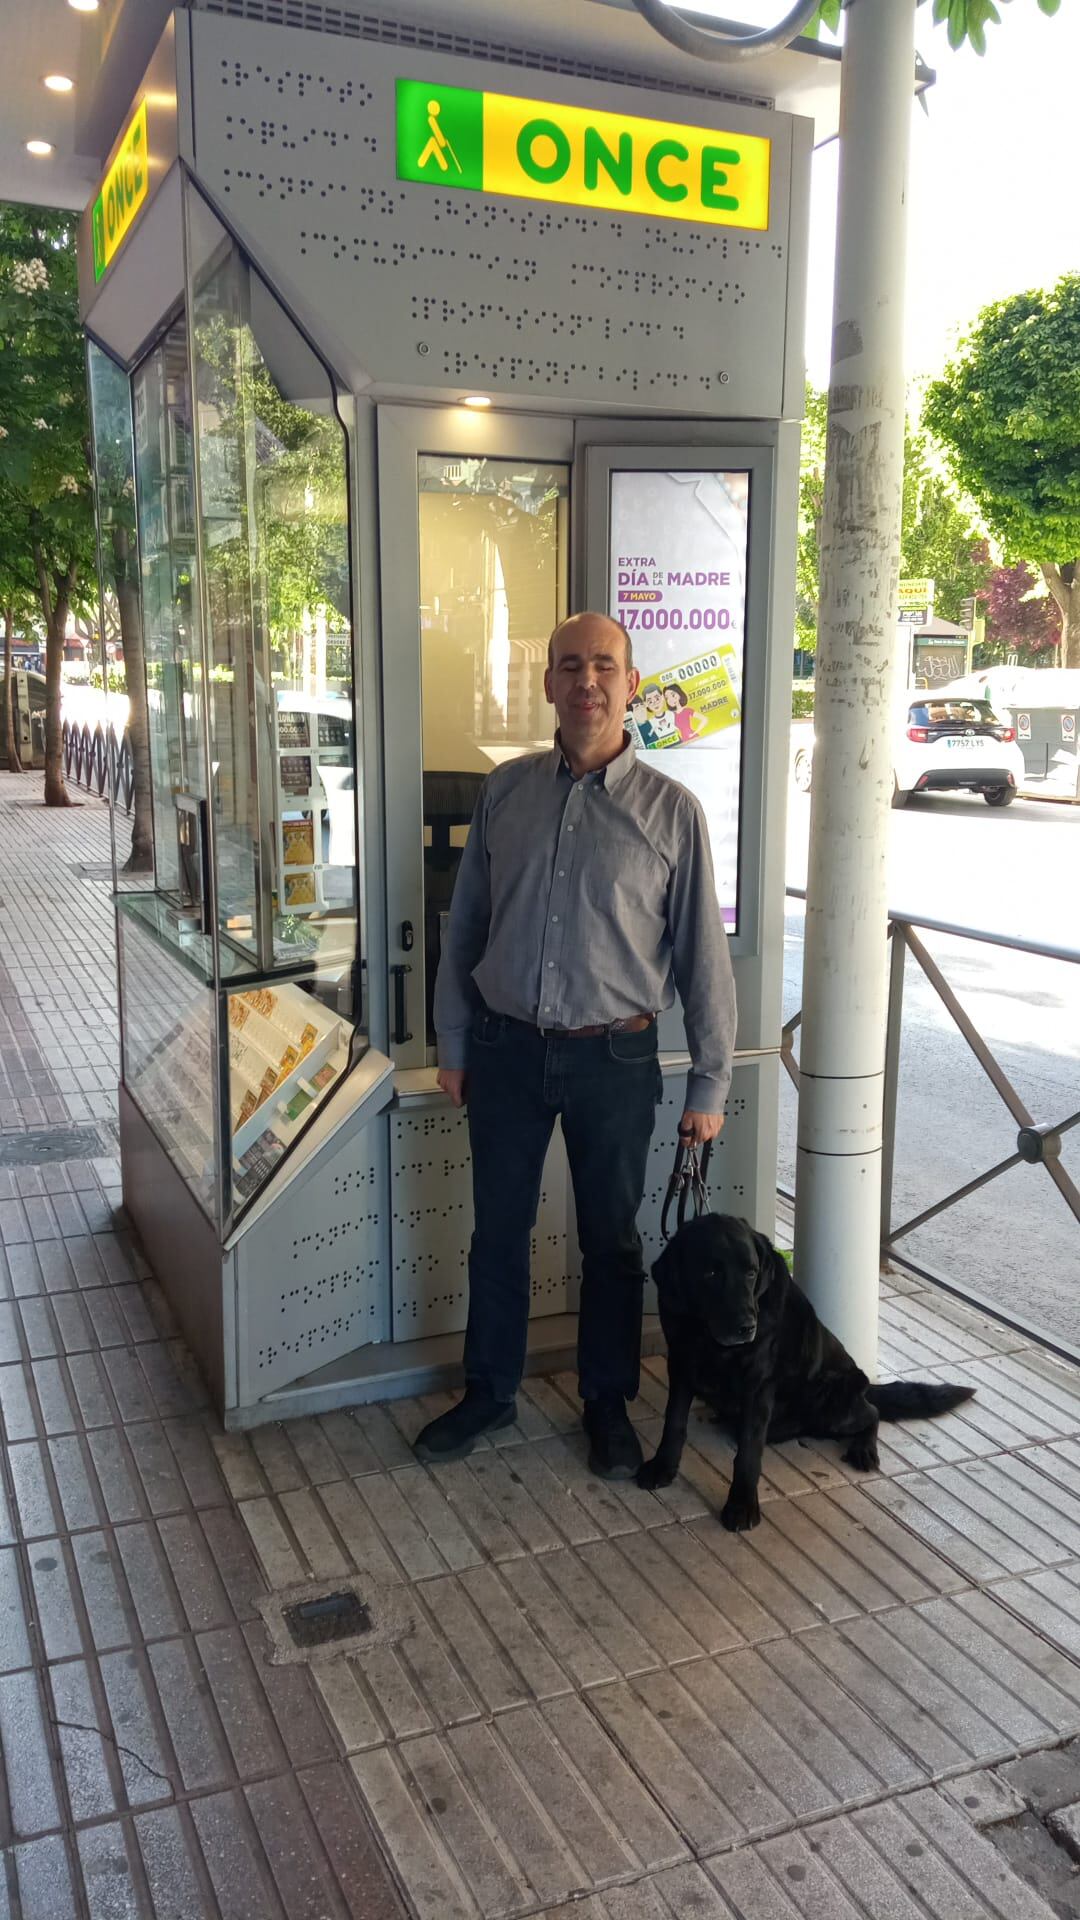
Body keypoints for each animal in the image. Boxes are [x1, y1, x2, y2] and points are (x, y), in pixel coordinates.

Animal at [634, 1213, 972, 1528]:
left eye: (751, 1272)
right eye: (711, 1273)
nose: (747, 1327)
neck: (707, 1337)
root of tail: (862, 1384)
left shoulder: (758, 1386)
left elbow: (748, 1453)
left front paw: (741, 1505)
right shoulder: (680, 1363)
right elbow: (674, 1423)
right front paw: (663, 1467)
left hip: (832, 1402)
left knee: (872, 1413)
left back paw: (863, 1449)